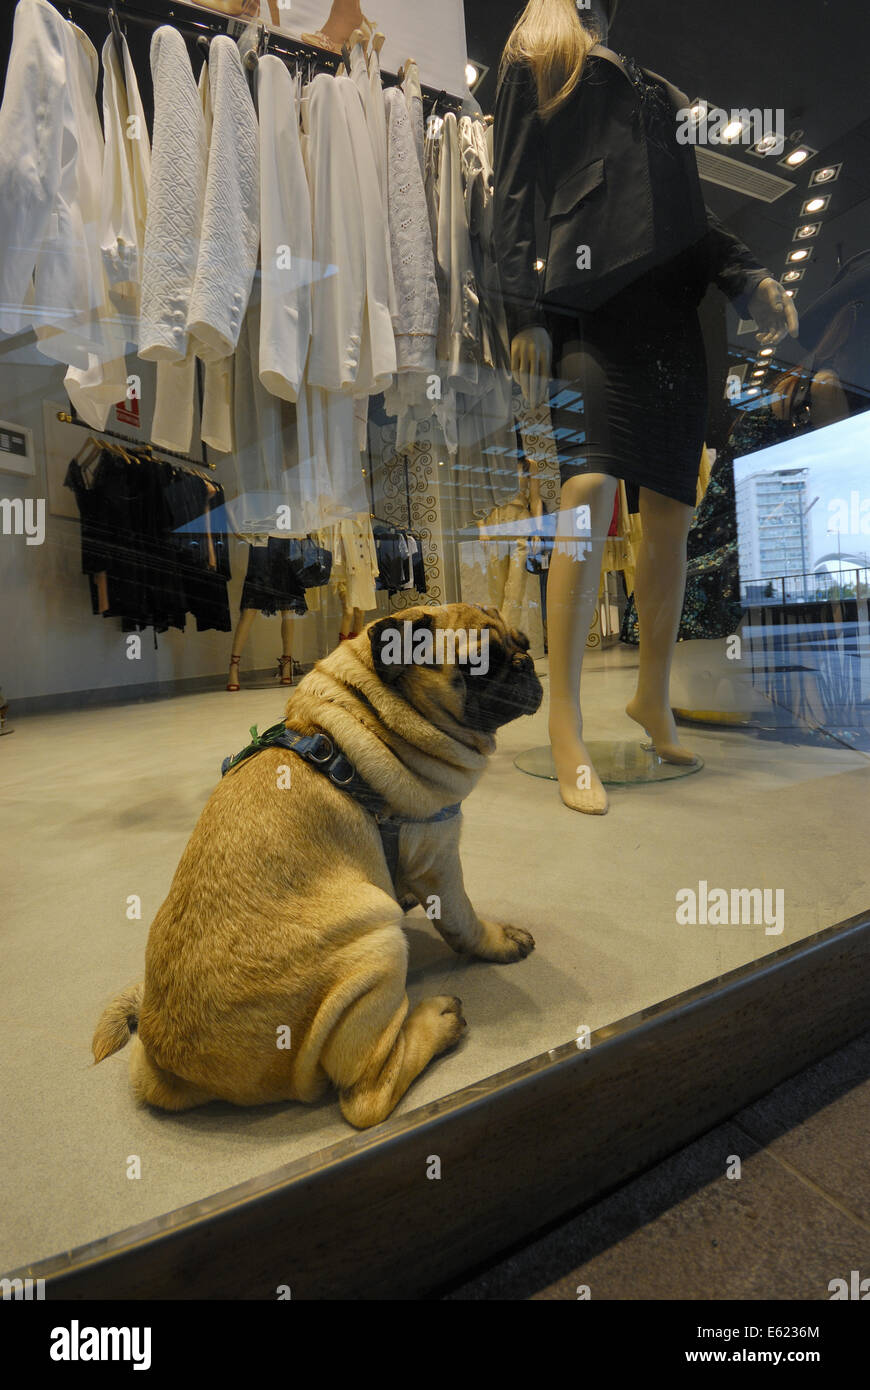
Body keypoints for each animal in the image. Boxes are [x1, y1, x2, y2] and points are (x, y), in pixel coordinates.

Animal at [94, 606, 542, 1128]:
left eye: (522, 641)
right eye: (480, 665)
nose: (527, 662)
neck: (373, 718)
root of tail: (168, 1066)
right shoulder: (441, 859)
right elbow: (465, 922)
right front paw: (500, 941)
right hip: (380, 944)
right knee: (365, 1095)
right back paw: (438, 1022)